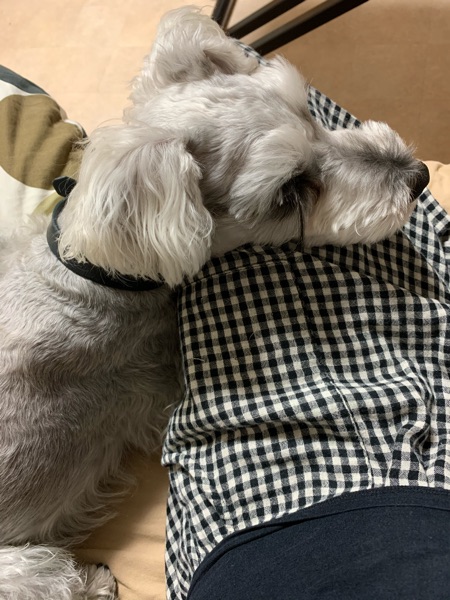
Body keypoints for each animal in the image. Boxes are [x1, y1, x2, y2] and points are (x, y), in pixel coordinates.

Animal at [0, 6, 429, 600]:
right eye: (289, 192)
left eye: (308, 111)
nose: (421, 175)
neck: (98, 274)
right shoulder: (158, 389)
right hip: (24, 569)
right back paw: (96, 579)